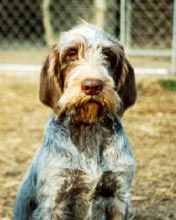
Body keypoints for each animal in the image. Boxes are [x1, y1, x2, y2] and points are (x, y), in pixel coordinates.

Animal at [13, 23, 137, 219]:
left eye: (108, 54)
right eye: (71, 54)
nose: (92, 85)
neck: (88, 127)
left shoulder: (118, 196)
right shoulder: (54, 201)